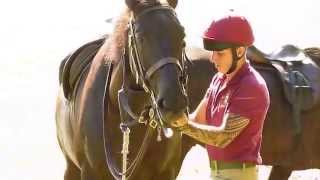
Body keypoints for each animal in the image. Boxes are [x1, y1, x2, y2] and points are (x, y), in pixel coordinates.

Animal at [55, 0, 190, 179]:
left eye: (182, 36)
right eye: (140, 37)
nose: (174, 102)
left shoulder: (166, 173)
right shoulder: (89, 172)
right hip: (71, 168)